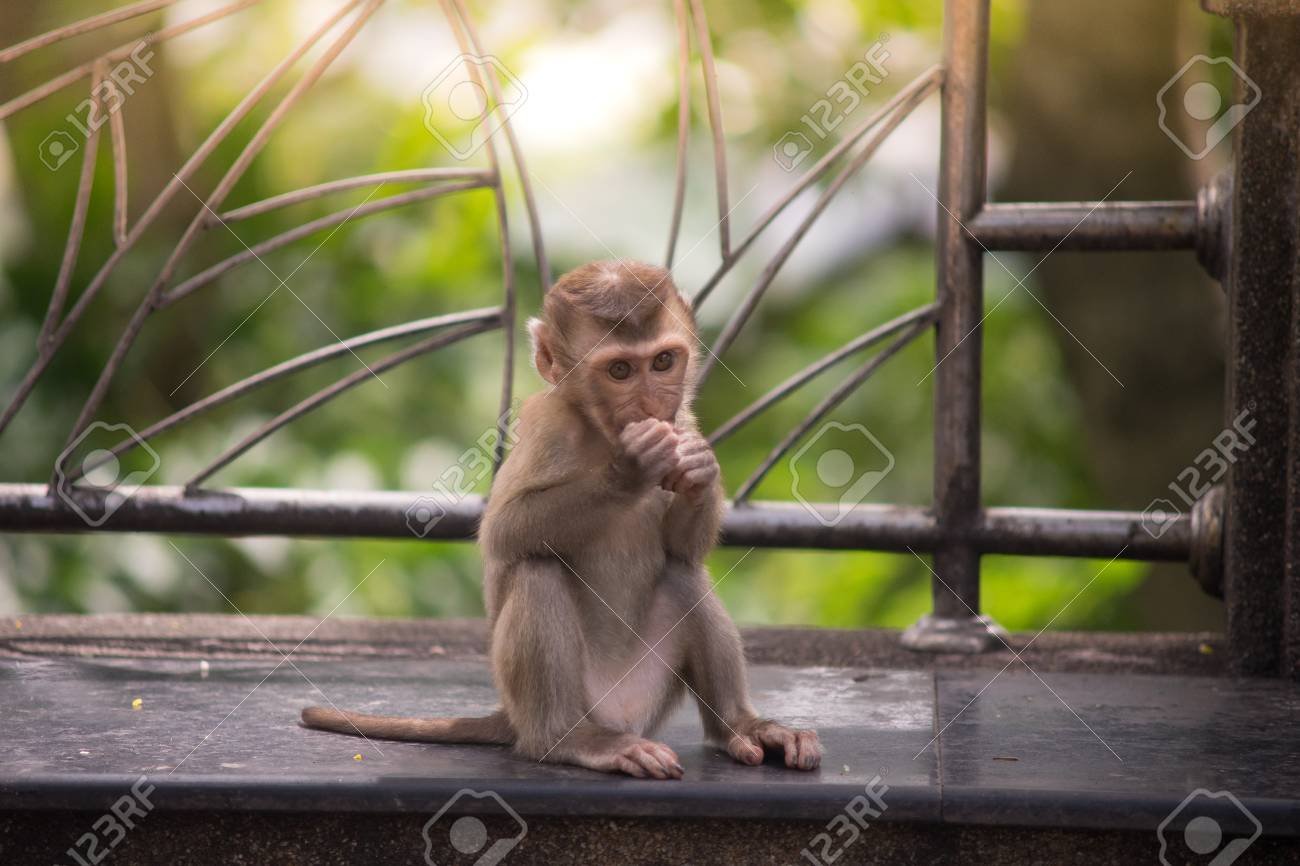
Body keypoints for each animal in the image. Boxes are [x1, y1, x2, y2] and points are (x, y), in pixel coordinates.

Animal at [302, 260, 821, 779]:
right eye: (619, 370)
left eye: (662, 362)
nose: (651, 407)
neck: (599, 432)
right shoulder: (545, 425)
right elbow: (504, 531)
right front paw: (631, 468)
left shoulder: (684, 420)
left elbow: (682, 547)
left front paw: (699, 470)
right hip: (569, 702)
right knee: (537, 571)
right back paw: (570, 739)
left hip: (649, 694)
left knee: (683, 573)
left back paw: (742, 727)